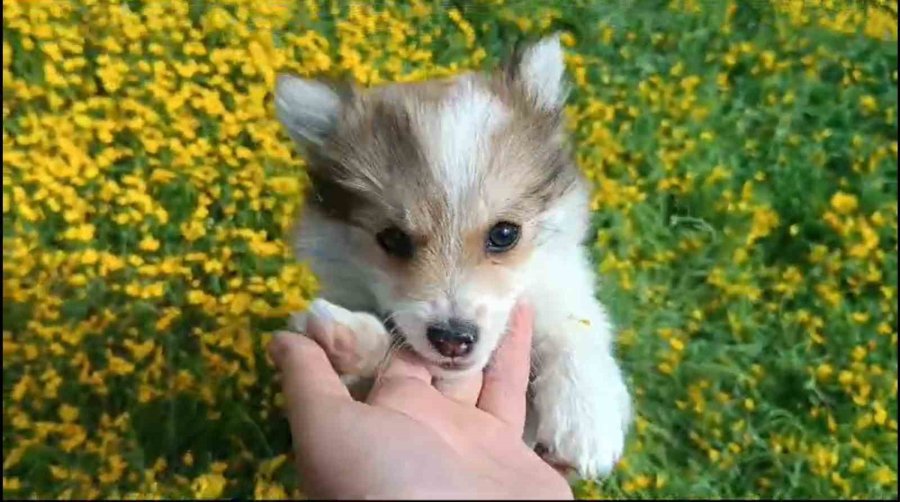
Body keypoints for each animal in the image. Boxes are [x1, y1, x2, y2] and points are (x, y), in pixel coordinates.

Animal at [274, 34, 632, 478]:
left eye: (504, 234)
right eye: (393, 239)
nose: (452, 340)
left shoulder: (562, 288)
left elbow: (576, 327)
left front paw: (585, 420)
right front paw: (348, 338)